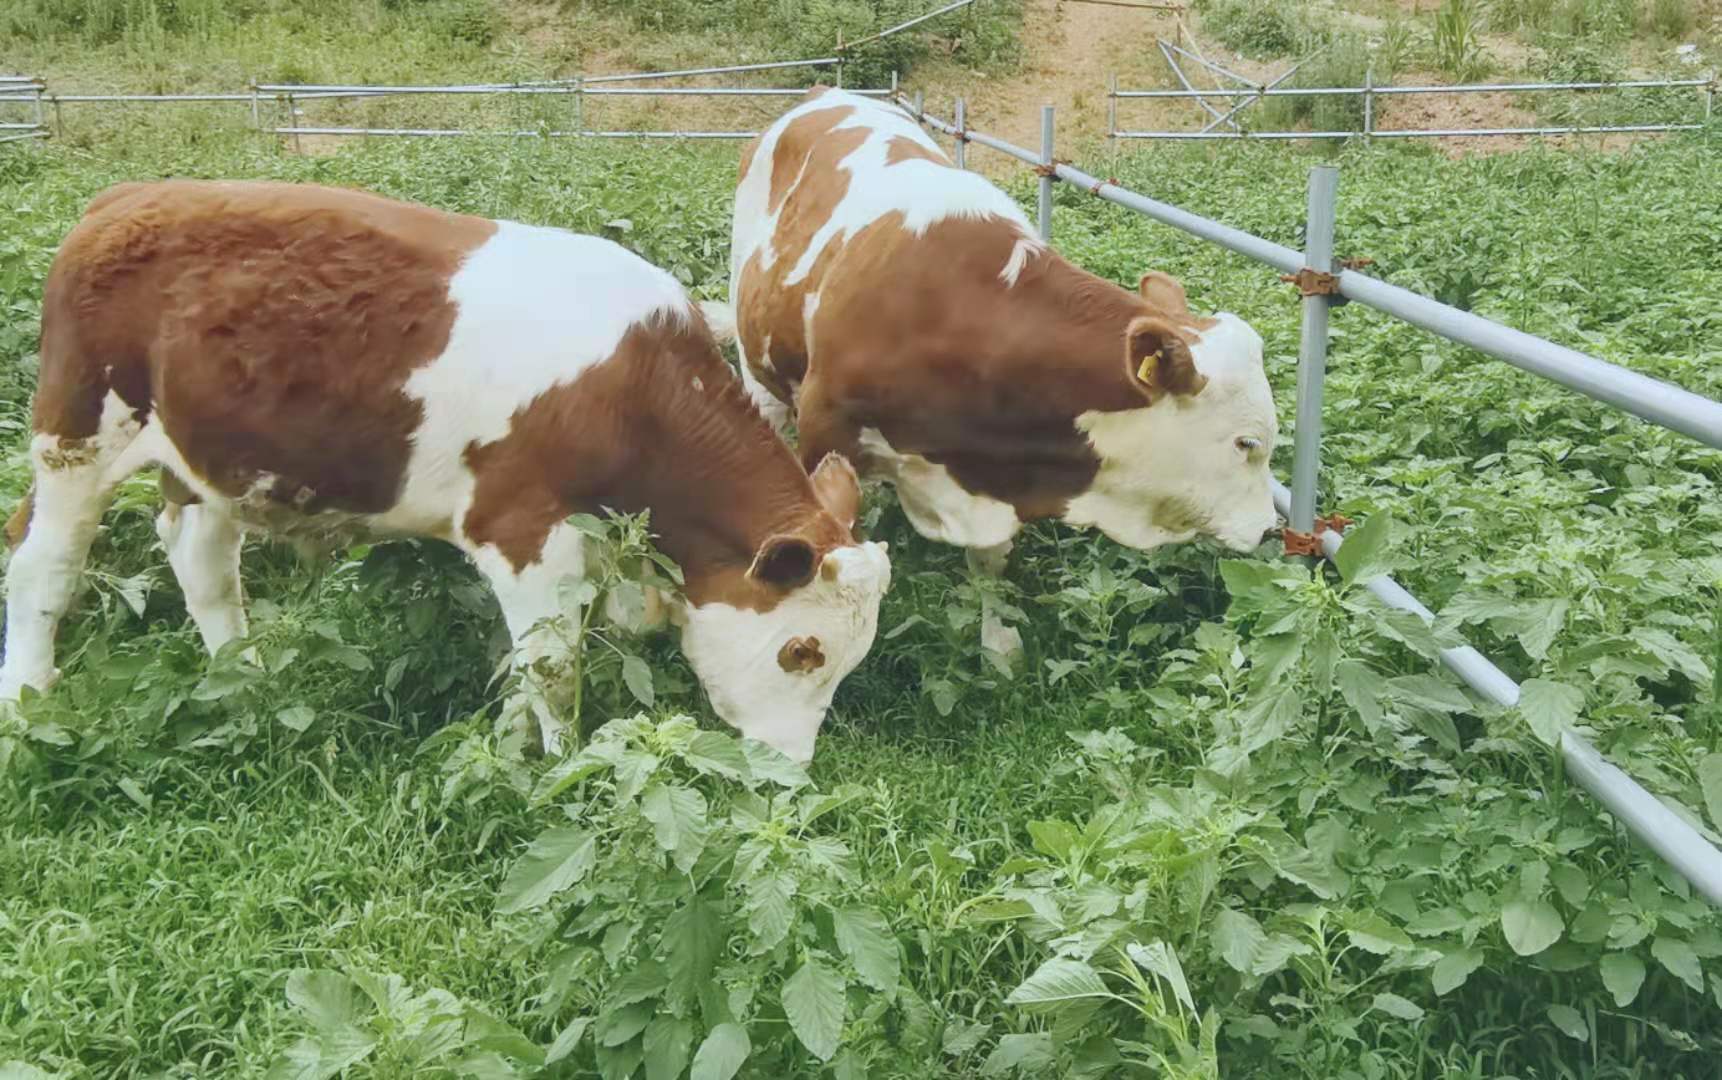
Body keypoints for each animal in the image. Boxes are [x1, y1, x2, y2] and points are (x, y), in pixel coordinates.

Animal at [0, 181, 888, 764]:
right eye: (801, 650)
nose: (789, 771)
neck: (635, 392)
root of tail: (120, 200)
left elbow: (530, 663)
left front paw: (509, 741)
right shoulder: (522, 528)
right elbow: (552, 664)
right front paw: (563, 767)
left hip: (208, 456)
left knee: (203, 564)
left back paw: (242, 676)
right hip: (76, 435)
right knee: (43, 565)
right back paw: (29, 697)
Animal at [706, 84, 1288, 654]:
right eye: (1246, 443)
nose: (1267, 531)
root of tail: (824, 90)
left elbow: (989, 568)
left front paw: (998, 647)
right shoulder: (825, 431)